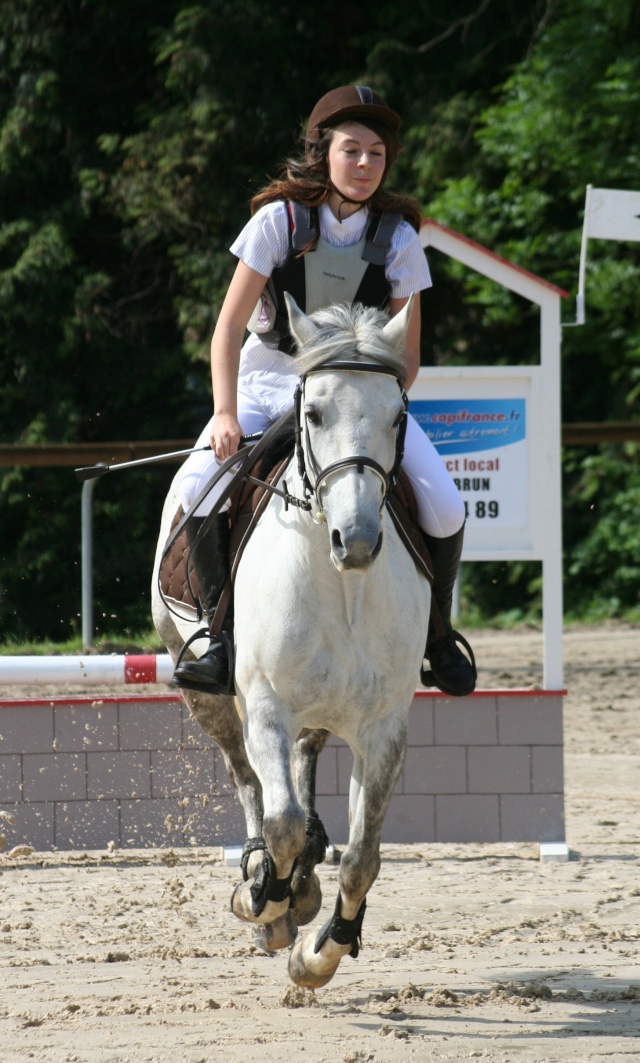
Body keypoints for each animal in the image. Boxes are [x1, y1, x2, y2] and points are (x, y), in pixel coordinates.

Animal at [152, 293, 429, 986]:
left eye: (397, 417)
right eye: (314, 412)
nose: (356, 541)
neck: (343, 586)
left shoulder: (384, 727)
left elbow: (362, 856)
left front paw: (321, 952)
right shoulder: (267, 705)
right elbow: (278, 820)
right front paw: (263, 899)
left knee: (305, 766)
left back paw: (302, 884)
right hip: (209, 693)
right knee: (248, 777)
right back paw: (271, 888)